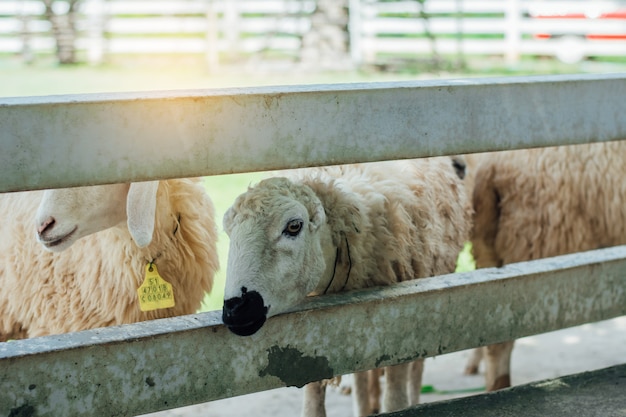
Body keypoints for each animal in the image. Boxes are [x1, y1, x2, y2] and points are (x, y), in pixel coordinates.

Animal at [222, 157, 470, 416]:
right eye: (228, 231)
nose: (236, 308)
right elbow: (313, 408)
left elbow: (395, 401)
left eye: (294, 226)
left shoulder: (404, 328)